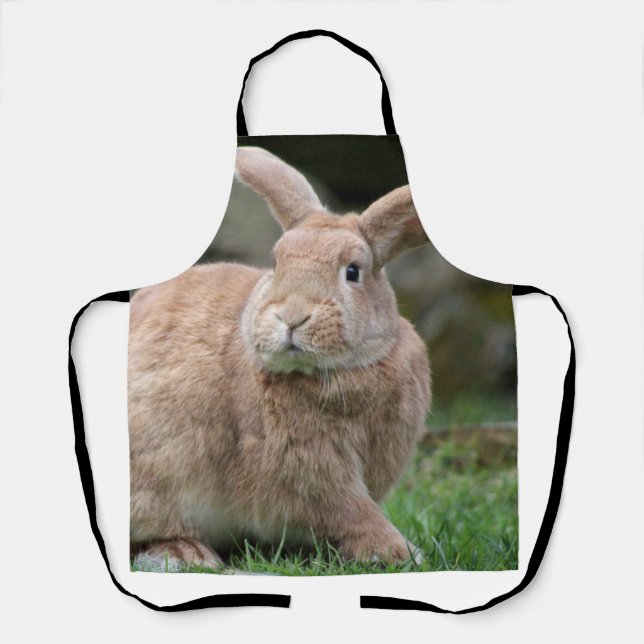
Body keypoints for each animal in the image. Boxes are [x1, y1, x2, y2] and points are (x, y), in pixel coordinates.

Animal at [128, 146, 431, 570]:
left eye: (353, 272)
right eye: (276, 264)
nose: (292, 316)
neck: (334, 372)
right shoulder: (313, 472)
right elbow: (352, 511)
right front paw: (397, 551)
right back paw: (186, 553)